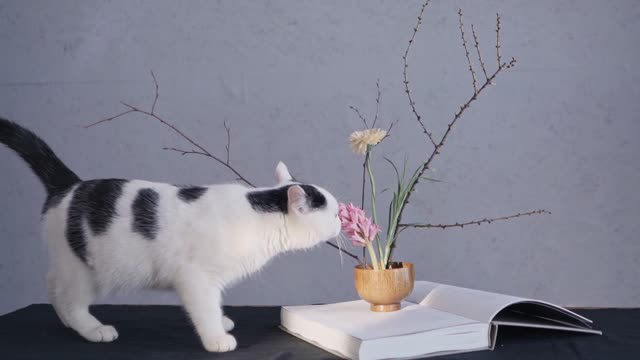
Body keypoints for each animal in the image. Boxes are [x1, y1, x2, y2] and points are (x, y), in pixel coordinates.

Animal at [0, 117, 342, 352]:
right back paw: (92, 328)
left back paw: (65, 321)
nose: (342, 220)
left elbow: (215, 304)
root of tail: (69, 185)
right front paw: (217, 337)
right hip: (85, 269)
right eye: (335, 212)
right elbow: (204, 308)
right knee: (72, 300)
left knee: (52, 284)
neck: (256, 214)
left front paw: (221, 320)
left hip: (67, 261)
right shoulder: (195, 278)